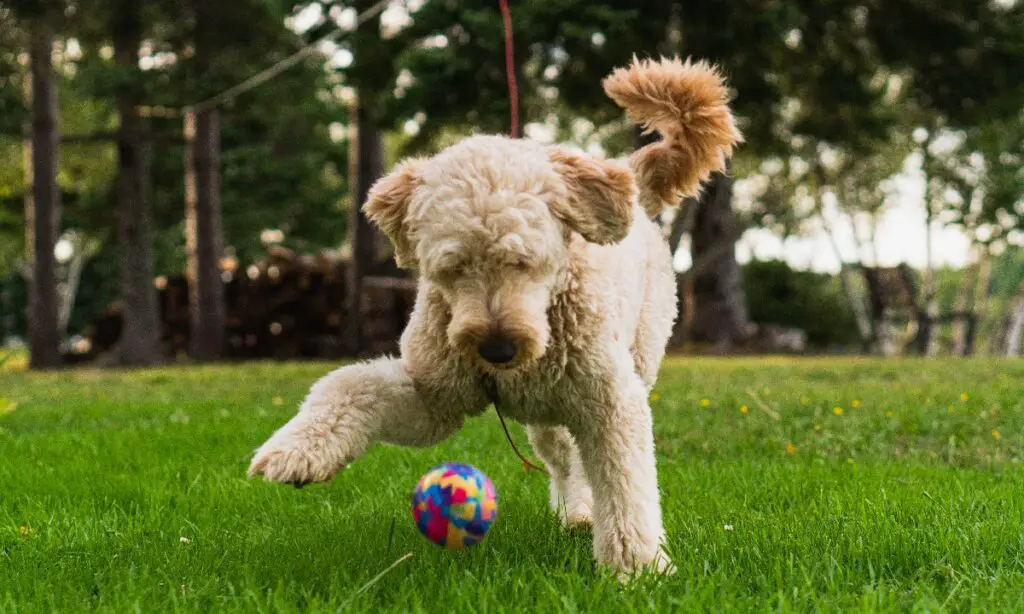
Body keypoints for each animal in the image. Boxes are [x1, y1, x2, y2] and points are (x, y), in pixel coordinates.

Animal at [250, 56, 741, 577]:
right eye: (452, 267)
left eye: (524, 261)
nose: (497, 349)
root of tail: (628, 174)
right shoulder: (435, 398)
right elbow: (350, 384)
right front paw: (297, 451)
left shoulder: (611, 402)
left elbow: (625, 485)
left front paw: (637, 569)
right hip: (547, 416)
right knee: (563, 457)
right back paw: (575, 510)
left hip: (636, 357)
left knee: (585, 460)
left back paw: (588, 516)